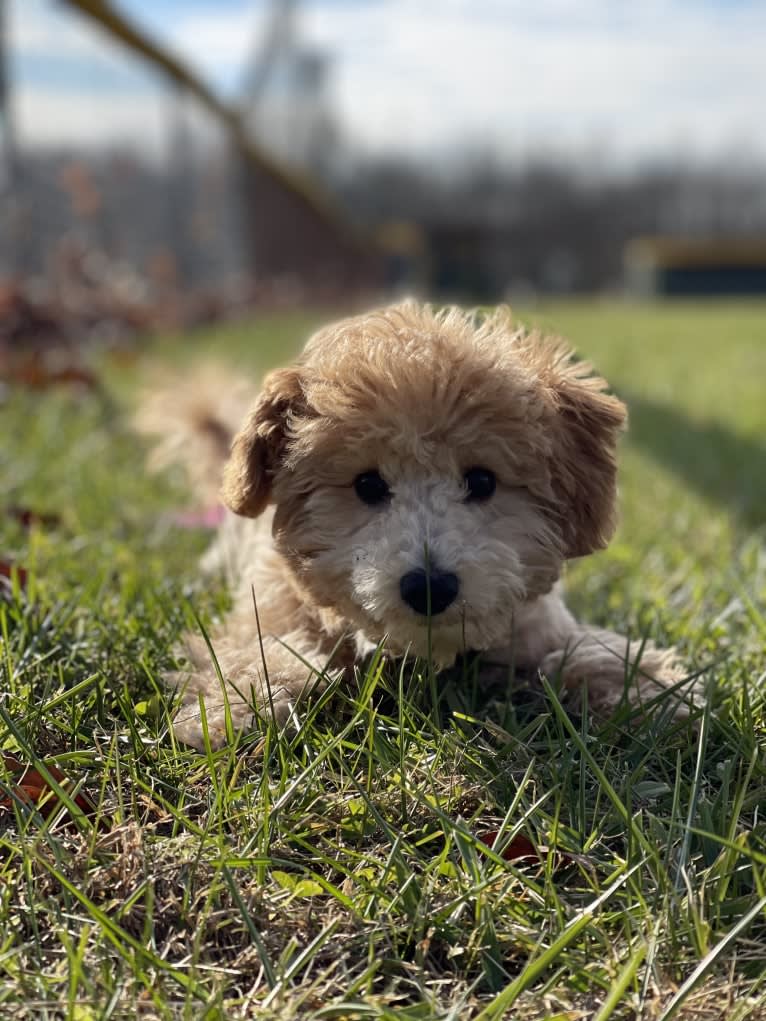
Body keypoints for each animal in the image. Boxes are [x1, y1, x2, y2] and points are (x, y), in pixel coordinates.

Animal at [139, 298, 694, 747]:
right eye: (367, 485)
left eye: (482, 480)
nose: (430, 586)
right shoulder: (269, 606)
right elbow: (255, 649)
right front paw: (234, 708)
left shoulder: (535, 623)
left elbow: (576, 650)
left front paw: (649, 689)